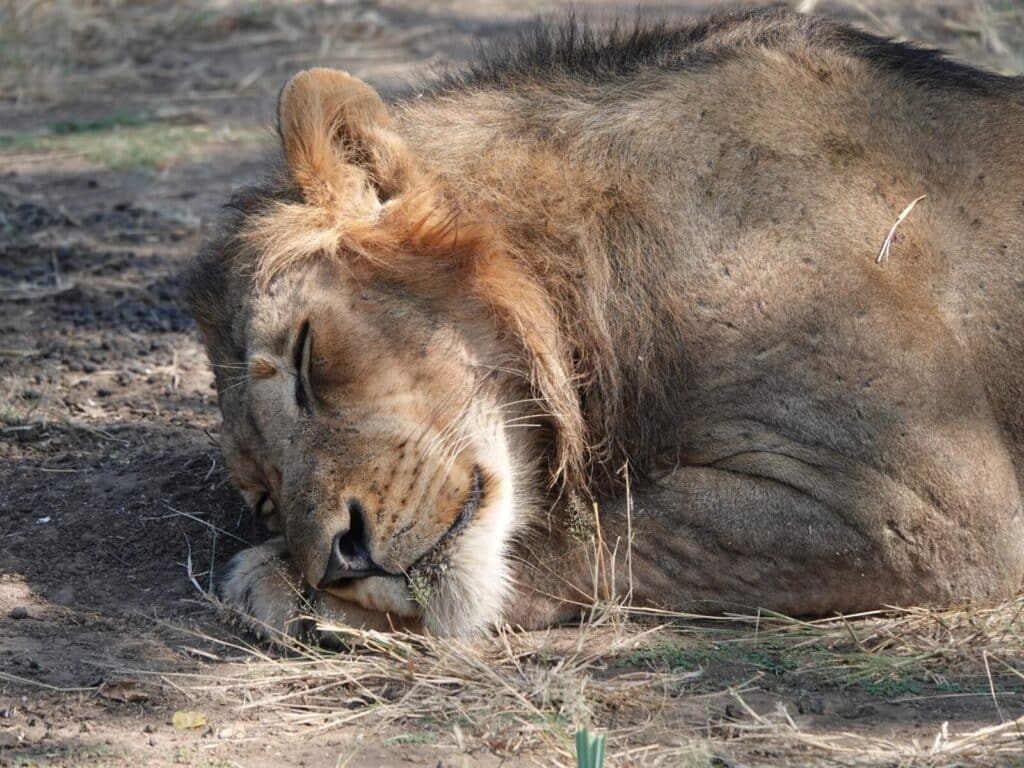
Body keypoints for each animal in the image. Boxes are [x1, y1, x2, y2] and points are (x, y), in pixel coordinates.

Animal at [188, 7, 1024, 643]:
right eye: (263, 499)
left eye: (305, 357)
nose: (340, 559)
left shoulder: (926, 506)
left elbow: (609, 524)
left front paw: (273, 583)